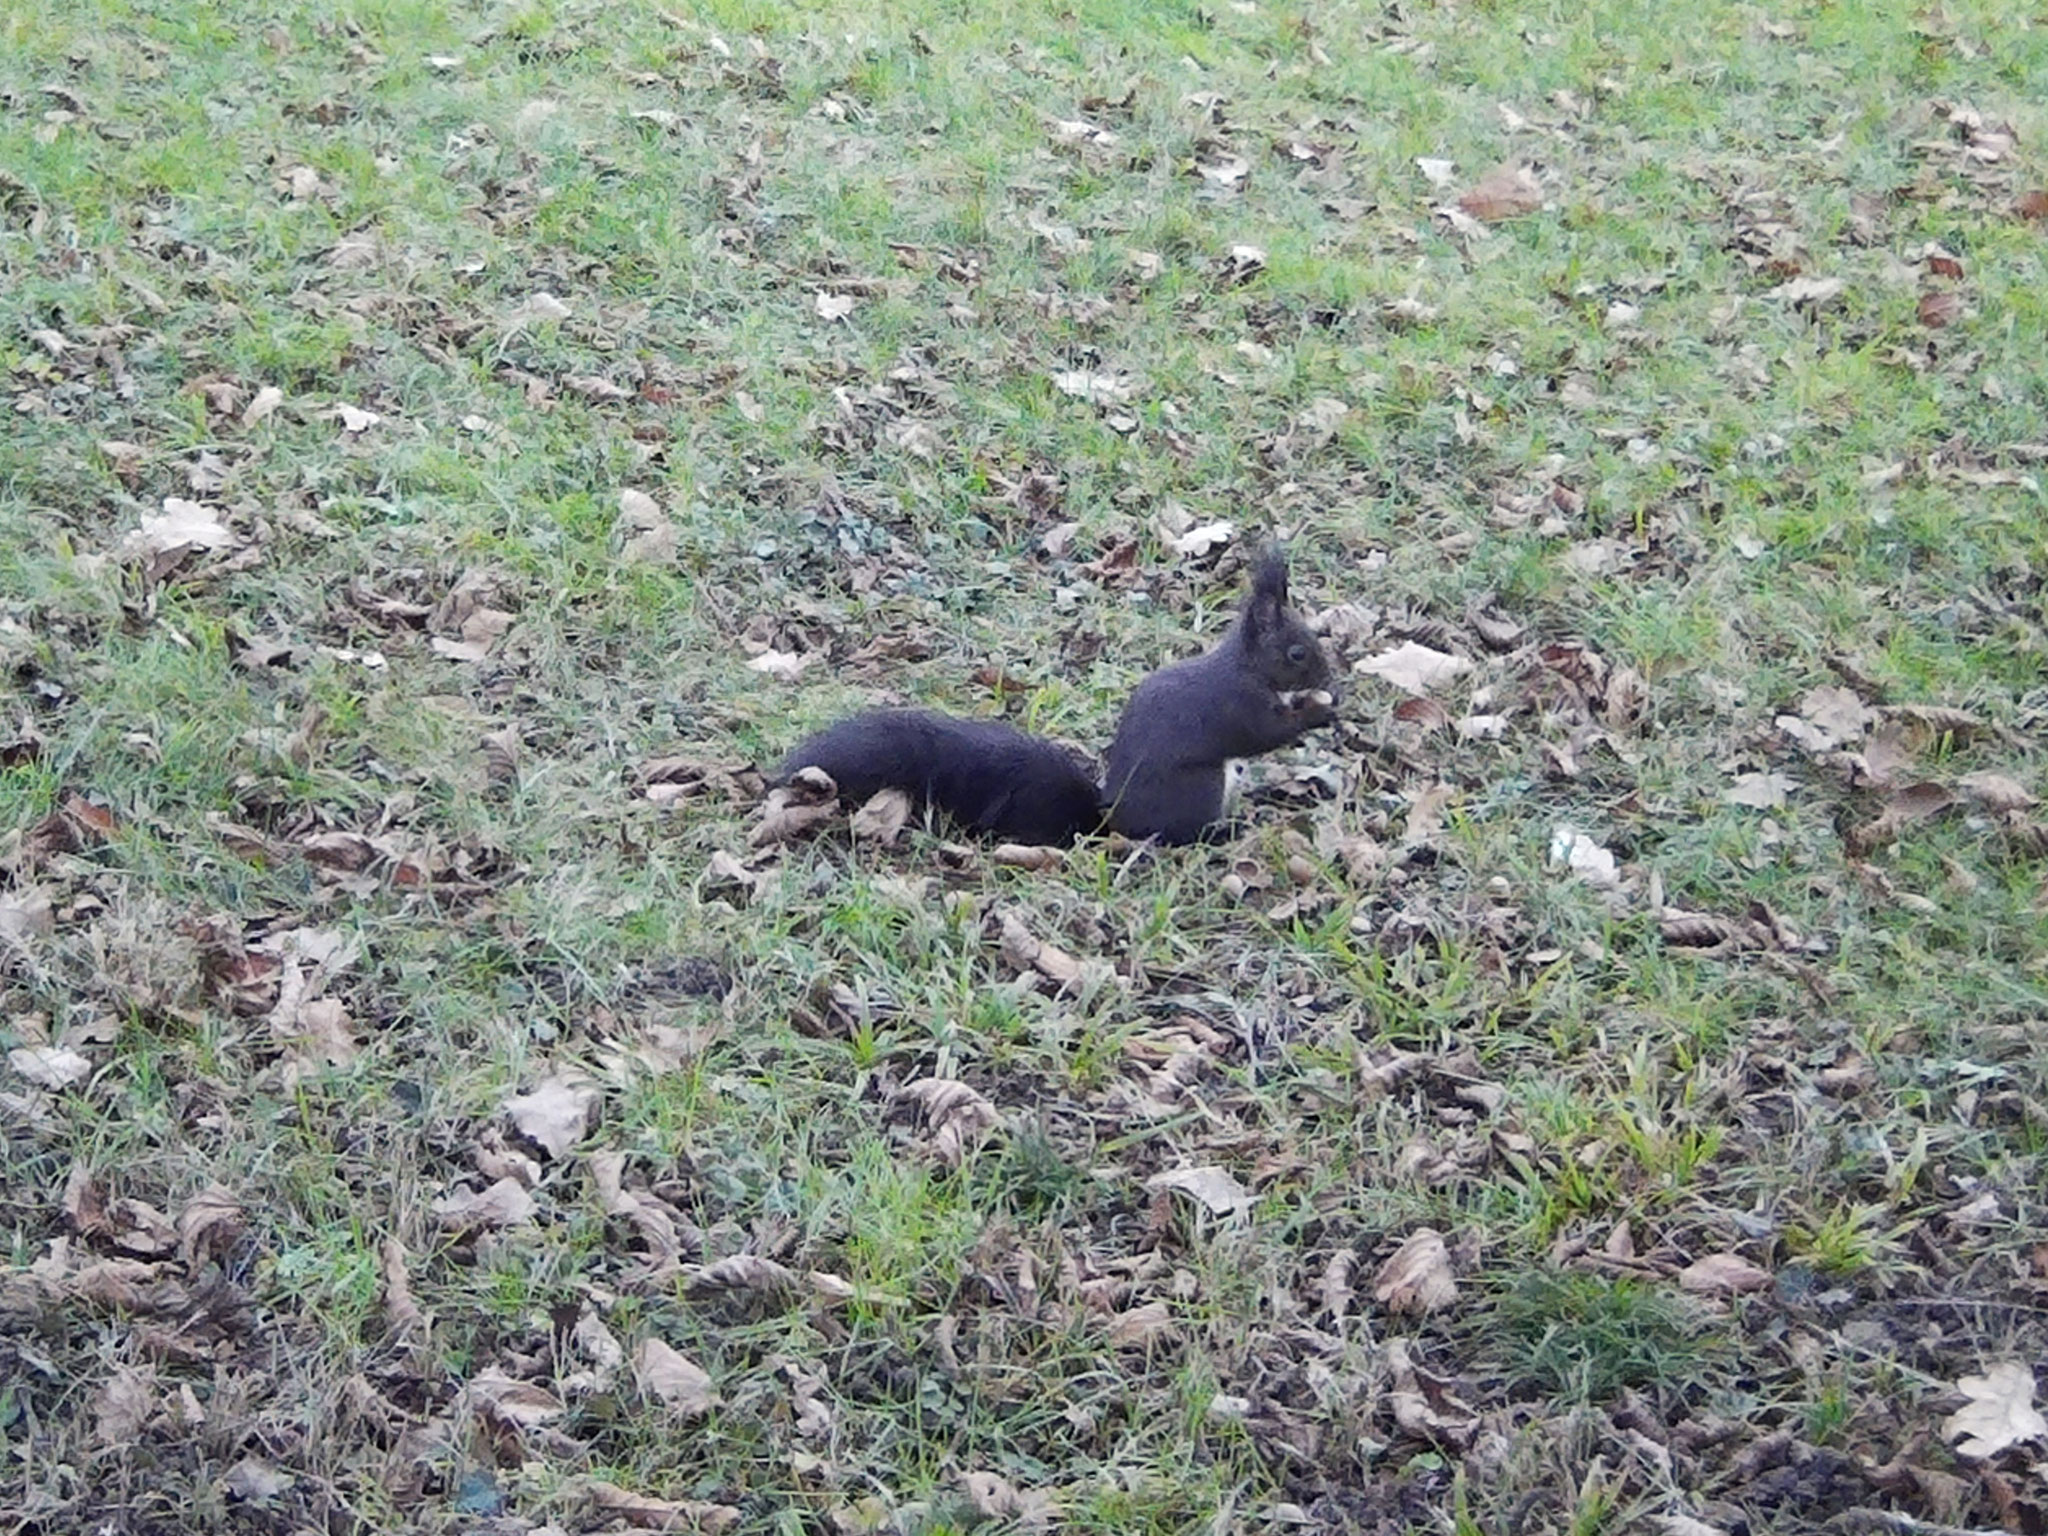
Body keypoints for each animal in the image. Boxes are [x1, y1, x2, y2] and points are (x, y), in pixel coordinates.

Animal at [775, 546, 1338, 846]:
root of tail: (1109, 819)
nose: (1330, 677)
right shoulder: (1235, 704)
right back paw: (1222, 833)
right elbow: (1263, 733)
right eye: (1296, 652)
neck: (1244, 666)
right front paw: (1318, 714)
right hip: (1198, 789)